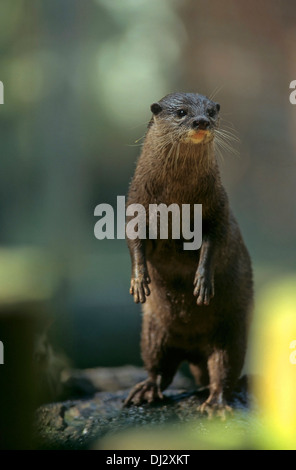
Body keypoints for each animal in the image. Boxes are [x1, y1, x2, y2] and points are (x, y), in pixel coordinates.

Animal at [123, 92, 253, 414]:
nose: (201, 121)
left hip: (232, 332)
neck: (176, 203)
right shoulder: (135, 203)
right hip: (153, 331)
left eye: (211, 111)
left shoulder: (217, 209)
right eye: (181, 112)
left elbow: (214, 242)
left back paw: (216, 403)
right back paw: (146, 390)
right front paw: (139, 281)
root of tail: (193, 351)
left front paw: (203, 282)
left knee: (224, 370)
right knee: (159, 368)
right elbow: (134, 241)